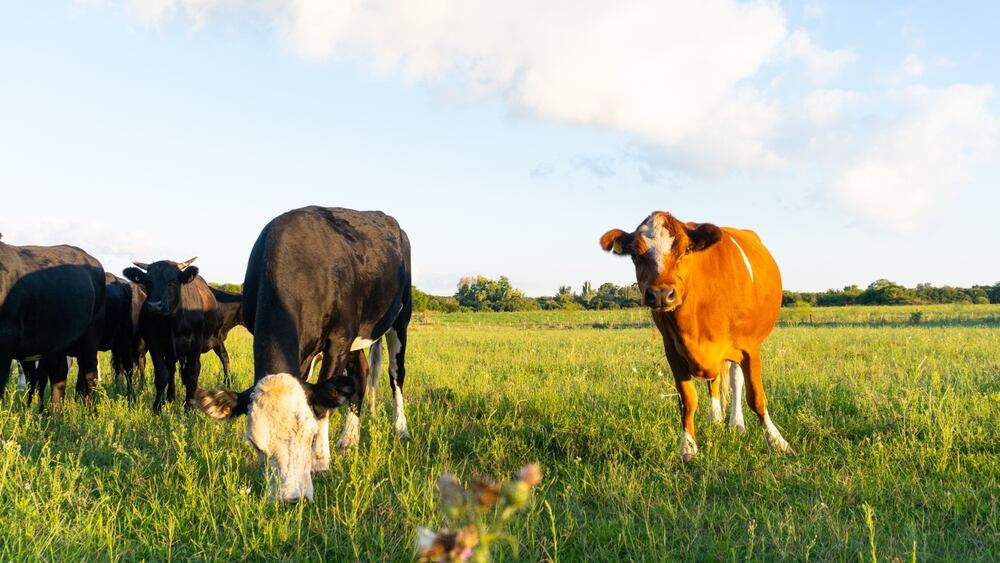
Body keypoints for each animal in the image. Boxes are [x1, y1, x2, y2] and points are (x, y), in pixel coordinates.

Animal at [0, 235, 106, 409]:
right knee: (59, 376)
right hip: (56, 342)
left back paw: (91, 411)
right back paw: (54, 413)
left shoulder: (6, 341)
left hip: (91, 335)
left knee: (90, 375)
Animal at [123, 257, 221, 412]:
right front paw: (157, 407)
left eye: (173, 281)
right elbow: (162, 375)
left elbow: (191, 374)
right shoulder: (154, 343)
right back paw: (170, 398)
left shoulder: (196, 343)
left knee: (193, 369)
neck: (172, 322)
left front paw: (189, 407)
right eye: (148, 282)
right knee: (172, 370)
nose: (154, 305)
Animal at [195, 206, 413, 502]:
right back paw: (349, 438)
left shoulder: (339, 338)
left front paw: (320, 461)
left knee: (395, 374)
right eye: (256, 445)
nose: (291, 498)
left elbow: (322, 404)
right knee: (360, 374)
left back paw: (401, 429)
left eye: (308, 434)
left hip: (400, 317)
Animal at [600, 211, 793, 462]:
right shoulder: (673, 351)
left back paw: (736, 424)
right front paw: (688, 447)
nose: (661, 294)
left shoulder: (749, 348)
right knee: (716, 381)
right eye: (635, 254)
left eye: (686, 250)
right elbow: (688, 399)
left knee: (735, 380)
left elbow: (756, 397)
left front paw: (777, 441)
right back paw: (717, 418)